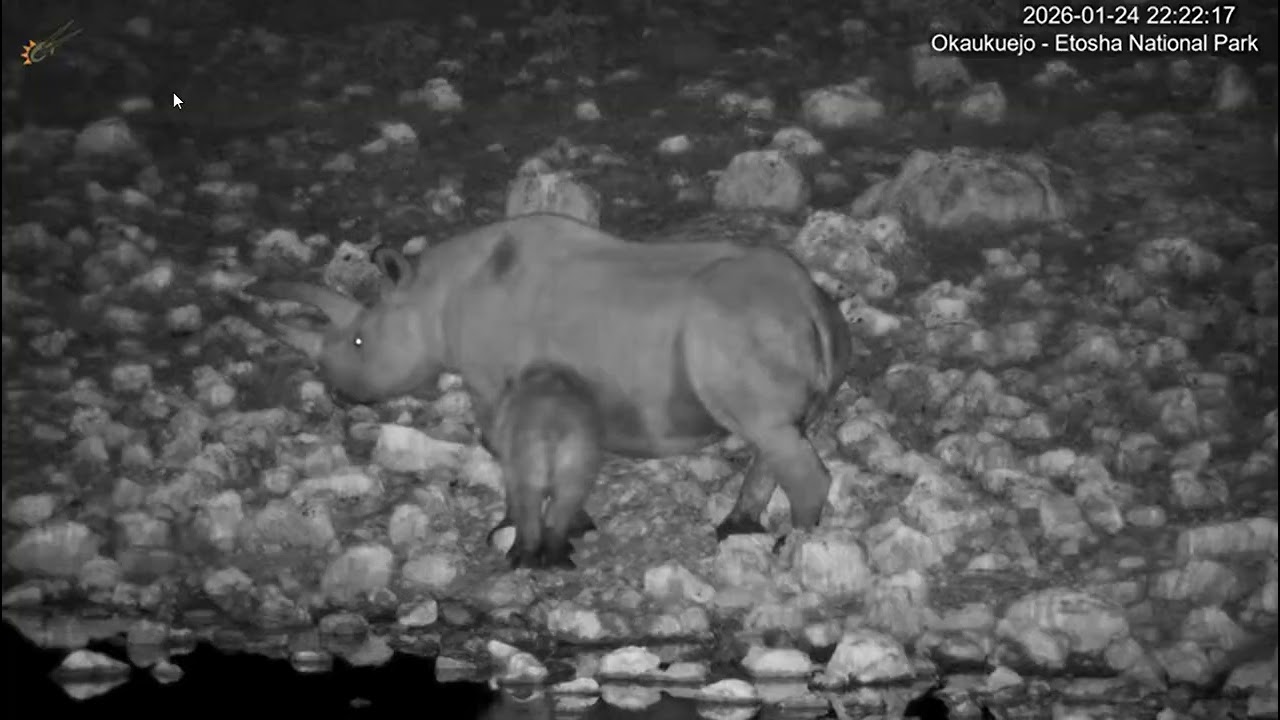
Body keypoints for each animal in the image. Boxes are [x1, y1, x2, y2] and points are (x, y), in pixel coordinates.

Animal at [243, 212, 853, 566]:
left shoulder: (492, 385)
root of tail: (808, 302)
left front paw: (515, 529)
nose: (337, 392)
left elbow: (505, 450)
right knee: (778, 430)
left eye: (360, 341)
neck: (433, 294)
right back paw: (738, 530)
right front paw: (569, 526)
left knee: (771, 432)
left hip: (737, 327)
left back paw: (794, 549)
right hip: (797, 327)